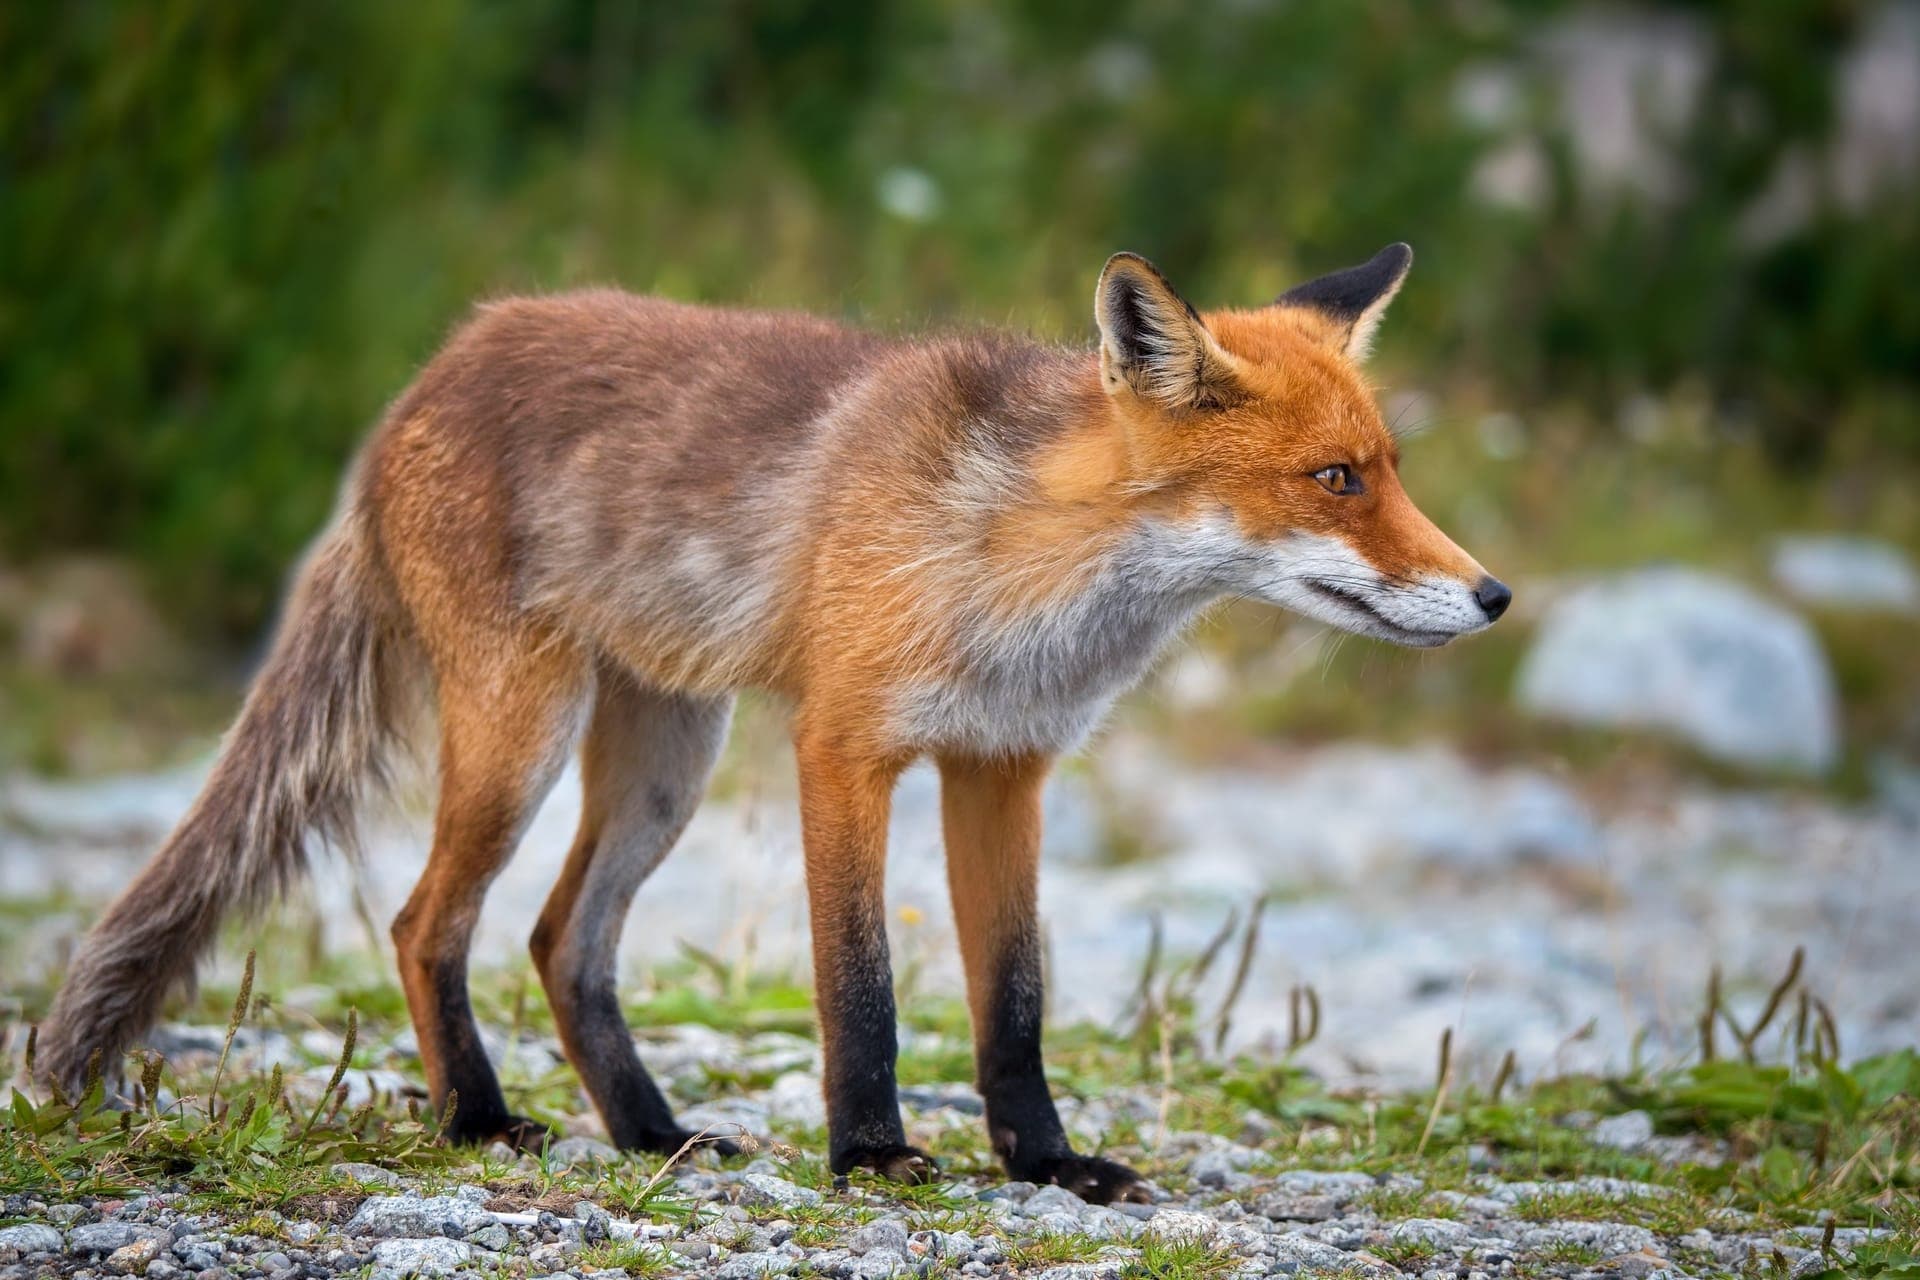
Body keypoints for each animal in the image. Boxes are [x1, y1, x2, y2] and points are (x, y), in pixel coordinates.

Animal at [36, 244, 1508, 1204]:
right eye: (1336, 479)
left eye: (1392, 469)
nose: (1494, 595)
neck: (1016, 559)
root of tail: (433, 370)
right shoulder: (845, 744)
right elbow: (859, 985)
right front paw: (872, 1155)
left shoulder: (1004, 766)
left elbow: (1014, 1002)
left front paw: (1047, 1164)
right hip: (525, 733)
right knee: (423, 923)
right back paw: (480, 1121)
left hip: (665, 763)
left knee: (562, 939)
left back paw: (651, 1135)